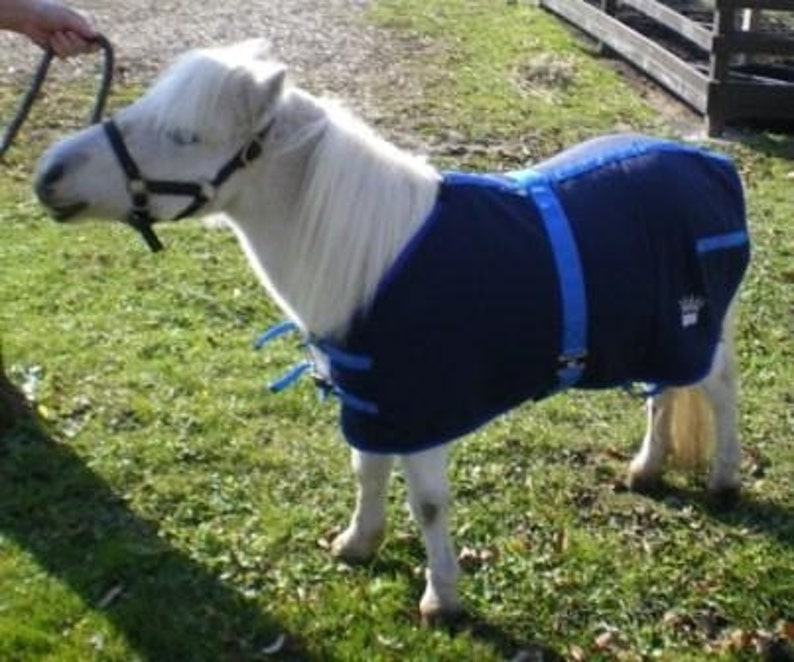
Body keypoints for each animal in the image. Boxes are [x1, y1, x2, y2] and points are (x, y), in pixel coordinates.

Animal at [34, 40, 749, 622]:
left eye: (185, 135)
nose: (49, 176)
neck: (372, 259)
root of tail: (711, 167)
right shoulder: (374, 400)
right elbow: (366, 471)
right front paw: (358, 543)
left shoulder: (419, 408)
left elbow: (428, 502)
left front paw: (442, 598)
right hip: (656, 334)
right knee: (664, 392)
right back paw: (647, 469)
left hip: (694, 332)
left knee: (717, 388)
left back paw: (724, 480)